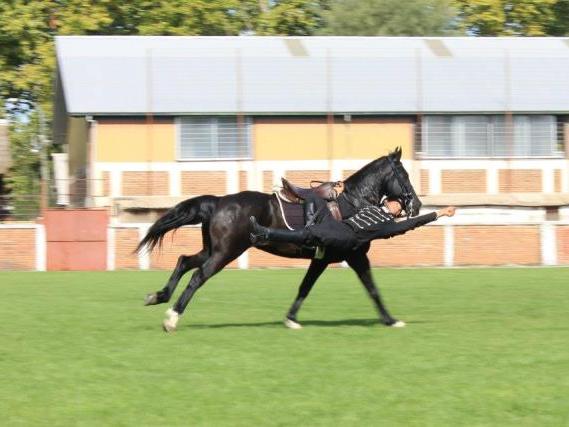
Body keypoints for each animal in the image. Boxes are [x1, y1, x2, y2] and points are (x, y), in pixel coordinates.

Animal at [138, 149, 422, 332]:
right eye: (405, 176)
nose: (417, 205)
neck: (352, 204)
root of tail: (218, 202)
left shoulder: (323, 258)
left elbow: (305, 287)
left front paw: (291, 319)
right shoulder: (355, 255)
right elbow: (372, 288)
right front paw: (391, 320)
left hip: (213, 249)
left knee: (184, 261)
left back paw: (158, 296)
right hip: (225, 252)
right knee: (198, 276)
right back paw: (172, 318)